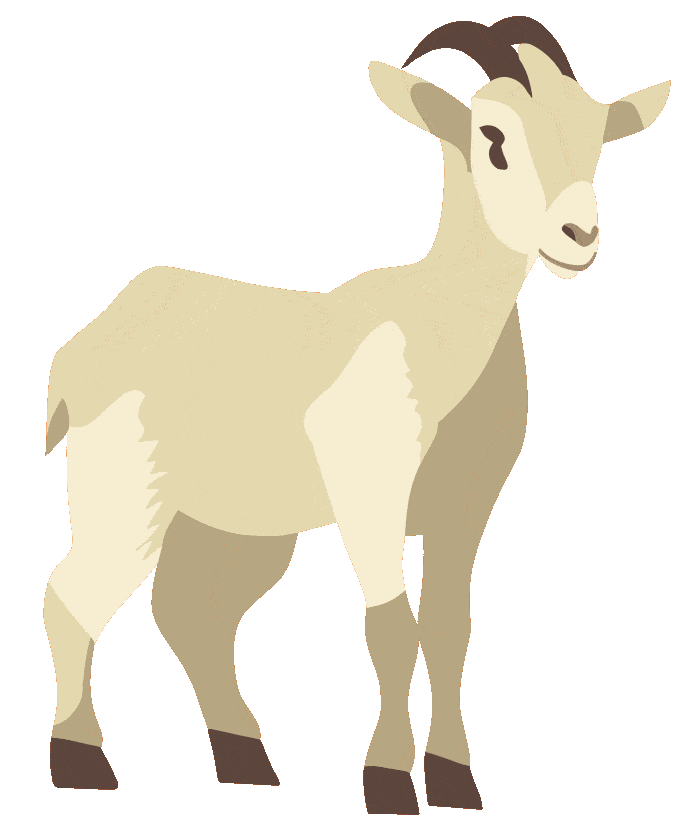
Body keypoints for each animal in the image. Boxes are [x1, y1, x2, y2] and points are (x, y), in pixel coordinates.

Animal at [44, 17, 670, 814]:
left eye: (598, 136)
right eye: (492, 136)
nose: (577, 238)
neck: (438, 329)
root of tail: (91, 342)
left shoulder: (466, 510)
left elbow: (451, 628)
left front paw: (455, 775)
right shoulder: (371, 496)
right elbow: (390, 628)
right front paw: (388, 775)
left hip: (233, 528)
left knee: (192, 613)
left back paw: (245, 756)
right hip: (128, 494)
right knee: (74, 595)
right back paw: (82, 759)